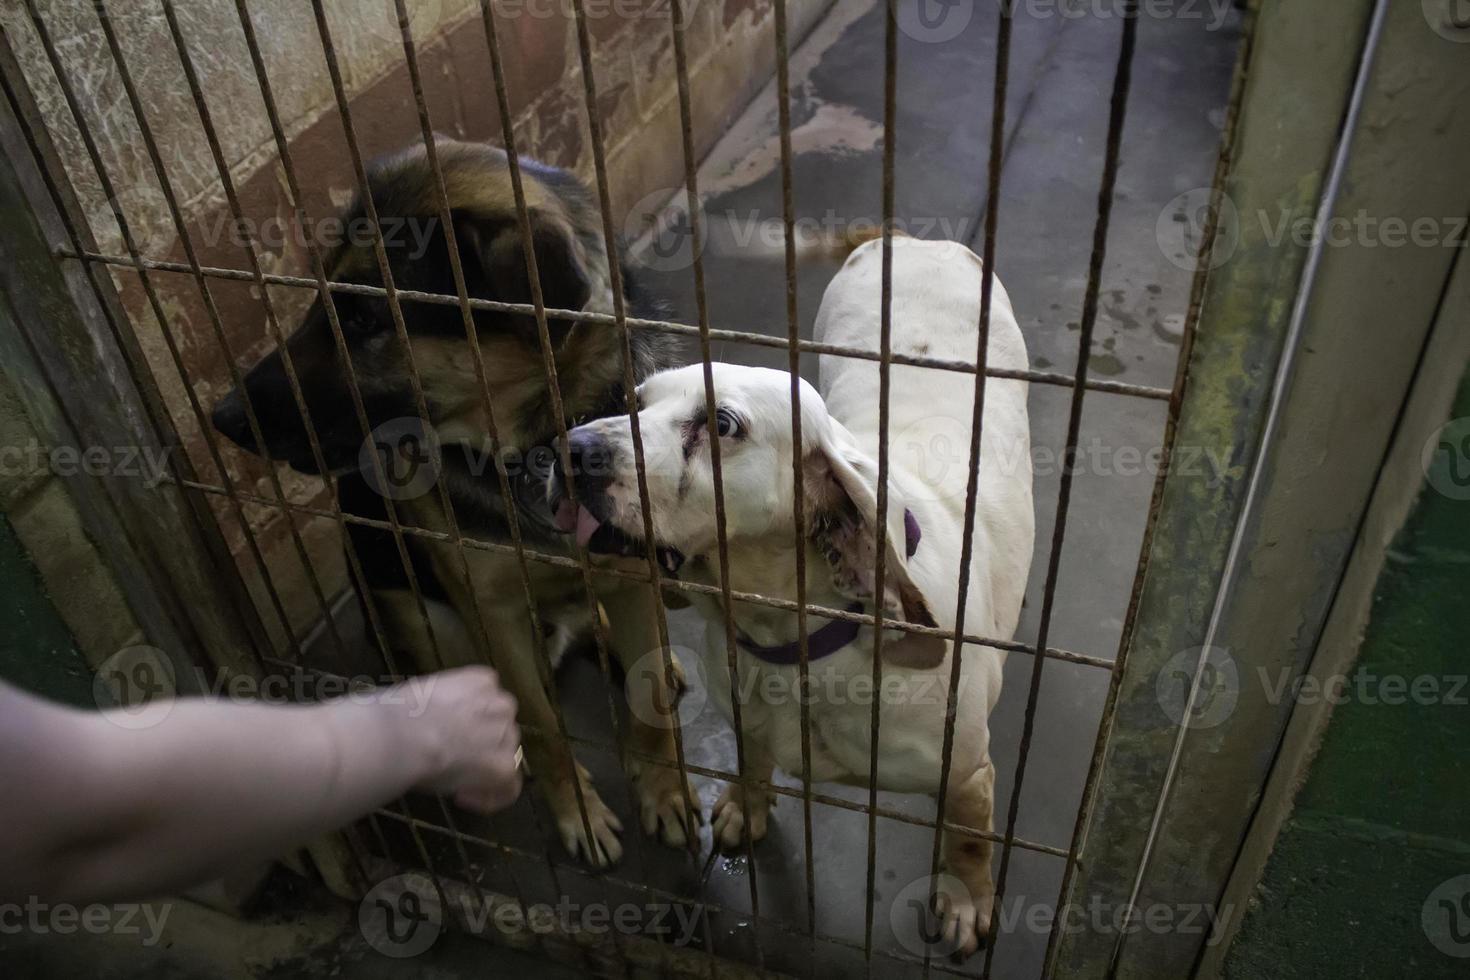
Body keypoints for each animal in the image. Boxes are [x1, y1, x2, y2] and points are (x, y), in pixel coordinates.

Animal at [210, 139, 696, 863]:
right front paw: (578, 811)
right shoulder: (489, 610)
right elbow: (544, 724)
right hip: (422, 617)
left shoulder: (633, 573)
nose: (221, 418)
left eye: (363, 317)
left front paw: (664, 790)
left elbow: (647, 703)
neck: (532, 446)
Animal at [552, 239, 1034, 957]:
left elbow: (970, 842)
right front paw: (744, 808)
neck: (792, 643)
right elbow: (752, 759)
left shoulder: (967, 776)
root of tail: (914, 240)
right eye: (635, 400)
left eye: (721, 423)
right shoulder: (744, 713)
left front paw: (966, 901)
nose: (571, 448)